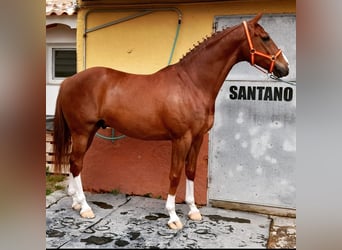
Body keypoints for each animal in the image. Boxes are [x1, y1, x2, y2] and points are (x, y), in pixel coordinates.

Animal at [52, 13, 288, 229]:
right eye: (265, 37)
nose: (285, 68)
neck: (192, 83)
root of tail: (69, 80)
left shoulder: (198, 137)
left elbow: (191, 171)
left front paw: (193, 210)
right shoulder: (181, 139)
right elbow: (175, 174)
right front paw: (173, 216)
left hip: (88, 132)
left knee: (74, 163)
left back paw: (75, 202)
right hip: (82, 132)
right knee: (77, 163)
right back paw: (85, 207)